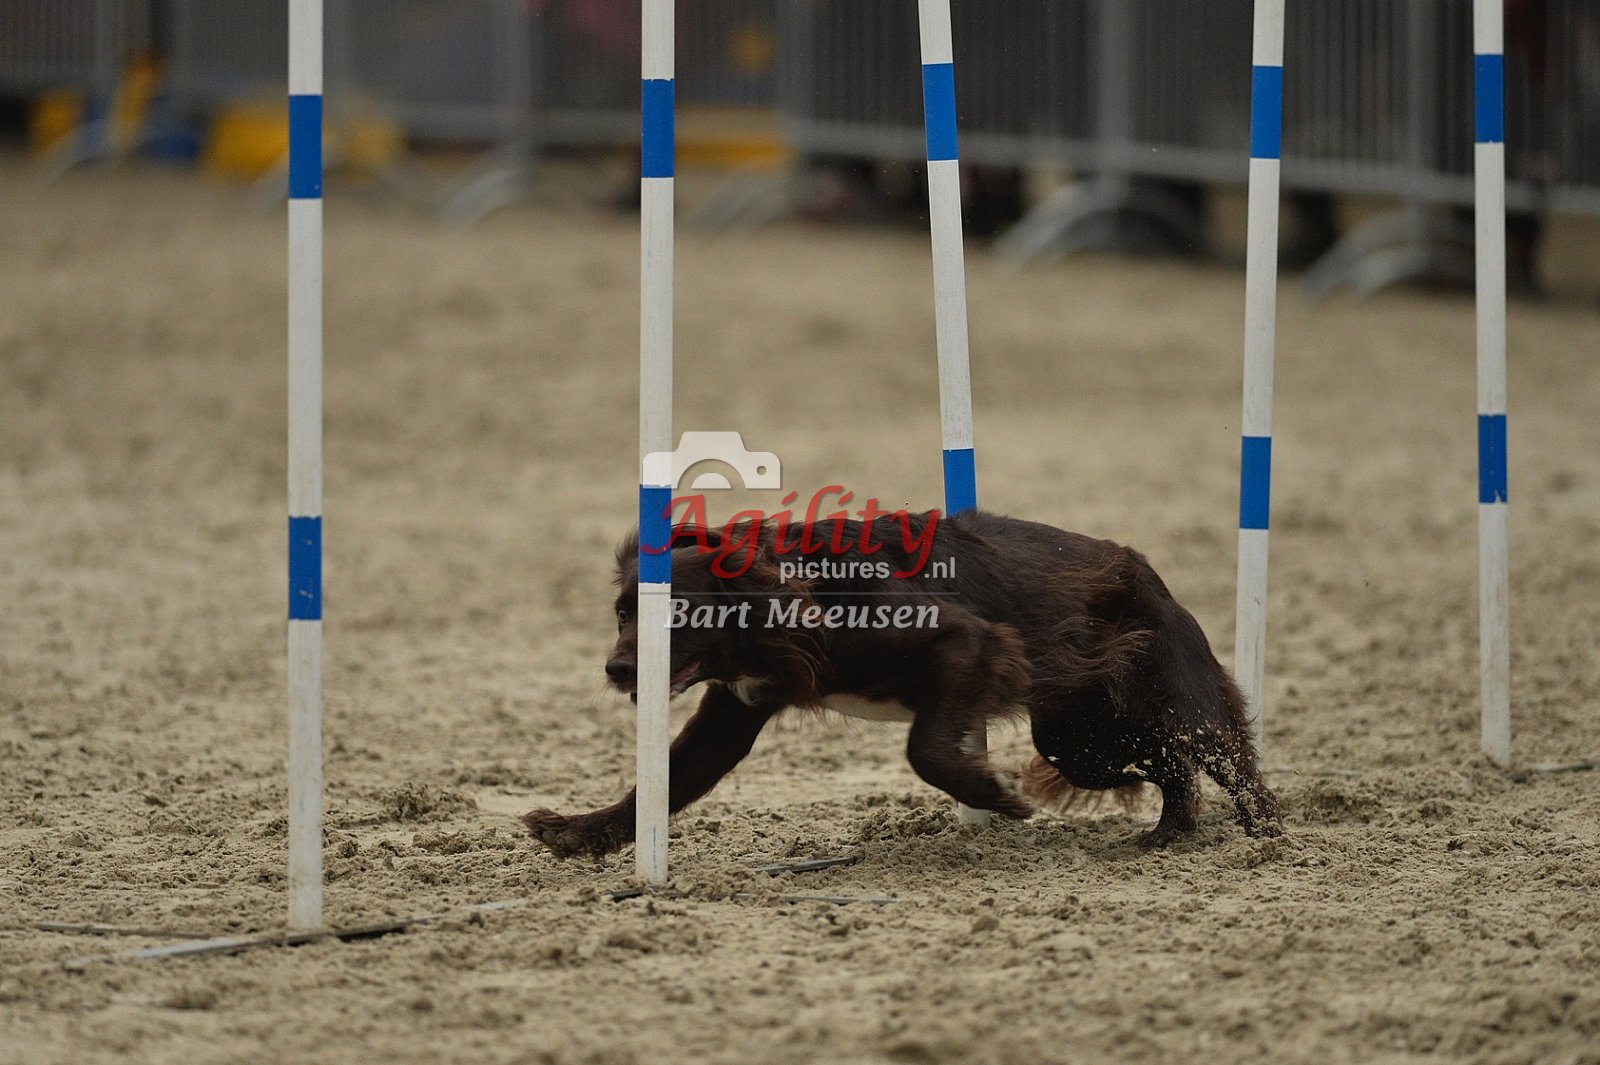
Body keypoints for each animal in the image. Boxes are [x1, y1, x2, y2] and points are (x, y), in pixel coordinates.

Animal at [523, 509, 1281, 858]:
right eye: (623, 612)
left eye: (676, 612)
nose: (618, 669)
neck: (800, 595)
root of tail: (1140, 564)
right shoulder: (732, 712)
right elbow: (666, 781)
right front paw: (574, 831)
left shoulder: (965, 641)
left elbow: (927, 750)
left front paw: (993, 794)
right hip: (1078, 736)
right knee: (1164, 764)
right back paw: (1170, 831)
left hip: (1175, 703)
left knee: (1230, 766)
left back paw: (1263, 843)